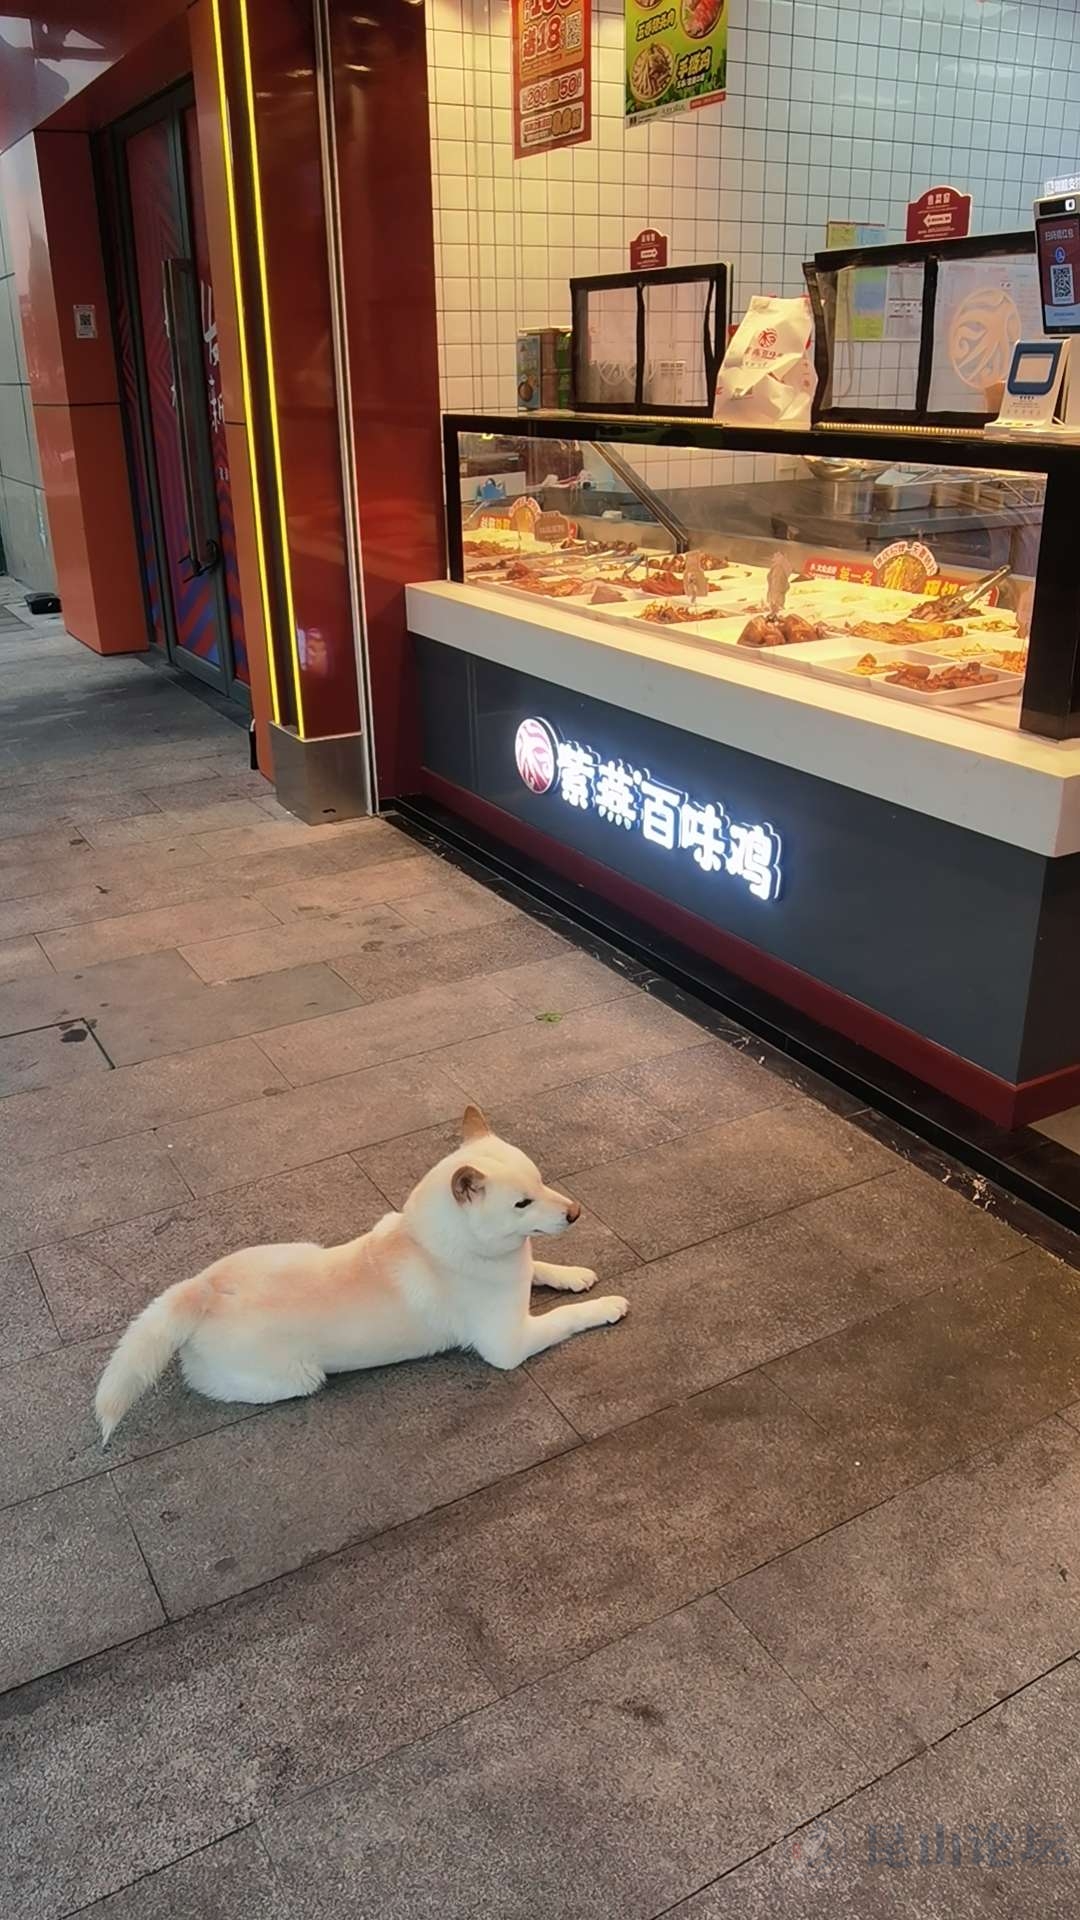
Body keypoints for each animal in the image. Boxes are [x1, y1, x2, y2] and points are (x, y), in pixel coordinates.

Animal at [95, 1104, 629, 1443]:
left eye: (541, 1180)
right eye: (522, 1202)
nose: (576, 1213)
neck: (436, 1244)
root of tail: (201, 1290)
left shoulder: (518, 1271)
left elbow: (542, 1267)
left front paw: (574, 1273)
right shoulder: (509, 1345)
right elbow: (567, 1317)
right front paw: (606, 1305)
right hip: (295, 1377)